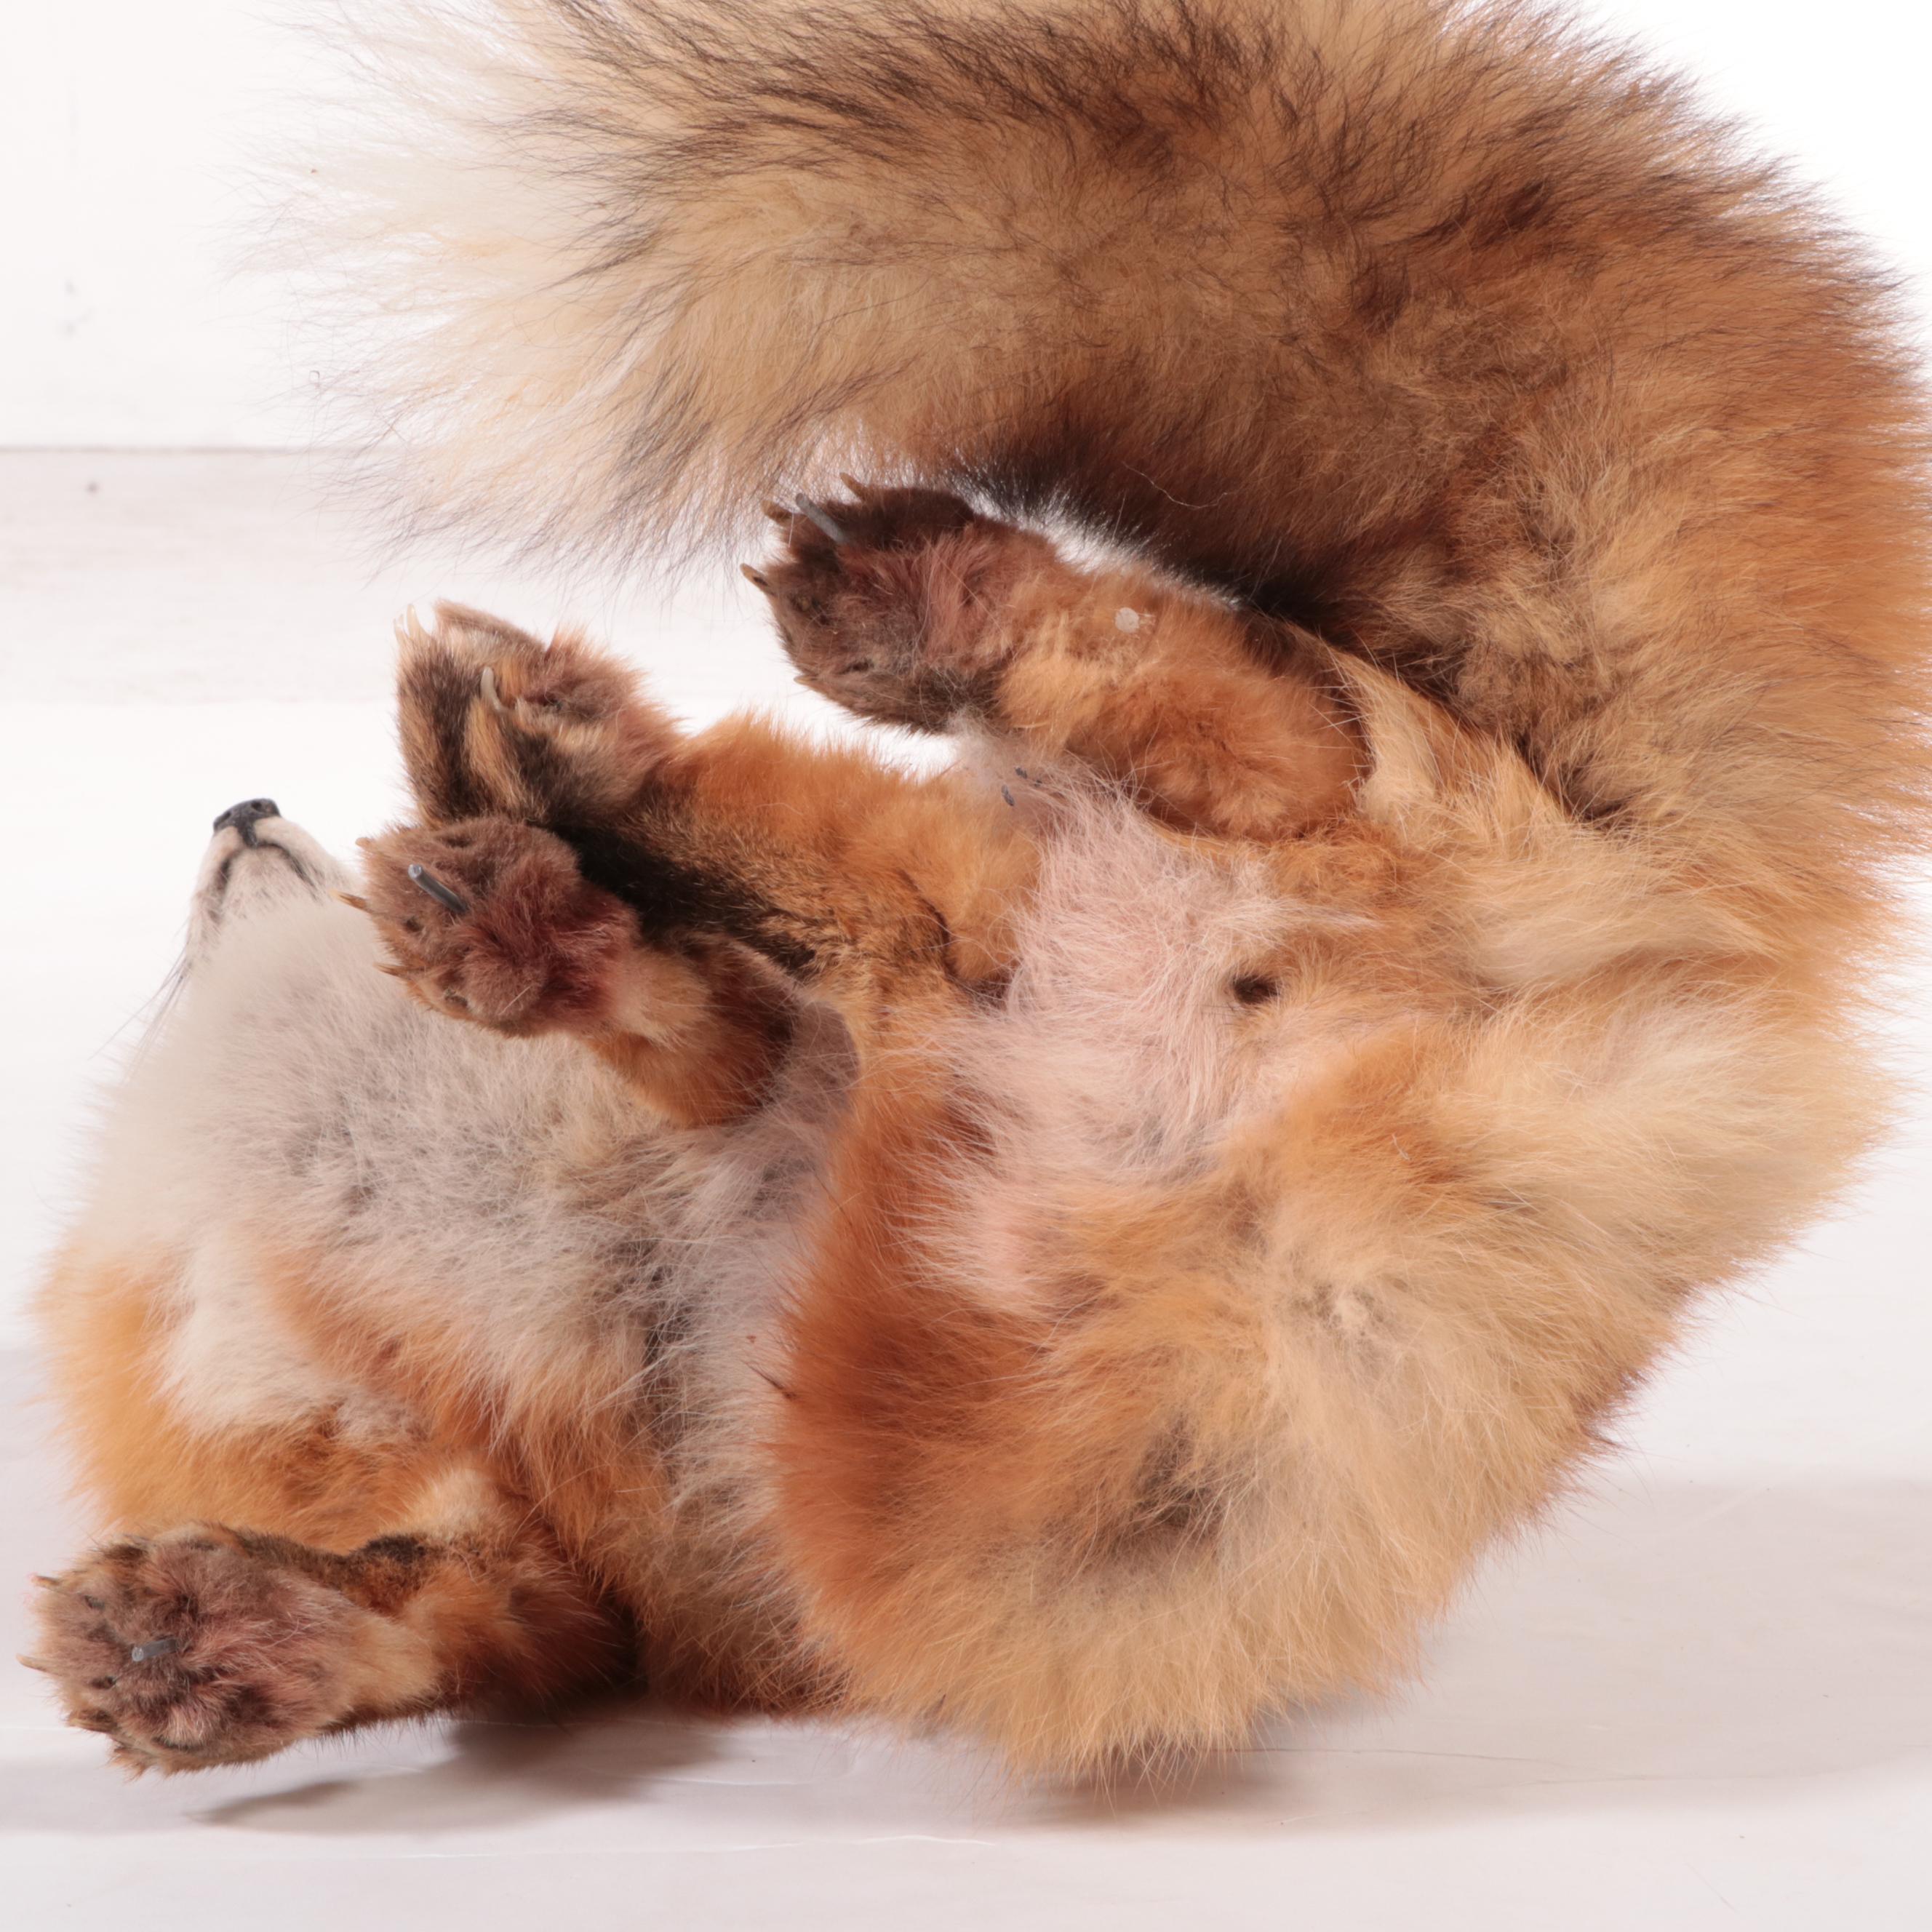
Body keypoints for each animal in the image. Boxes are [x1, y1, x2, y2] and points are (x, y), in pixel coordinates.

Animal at [24, 0, 1932, 1779]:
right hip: (926, 1402)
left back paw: (787, 671)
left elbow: (679, 1019)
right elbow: (463, 1620)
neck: (293, 1156)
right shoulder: (577, 1574)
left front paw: (535, 935)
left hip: (967, 939)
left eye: (204, 914)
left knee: (1242, 734)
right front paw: (218, 1648)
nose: (242, 805)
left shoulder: (728, 1078)